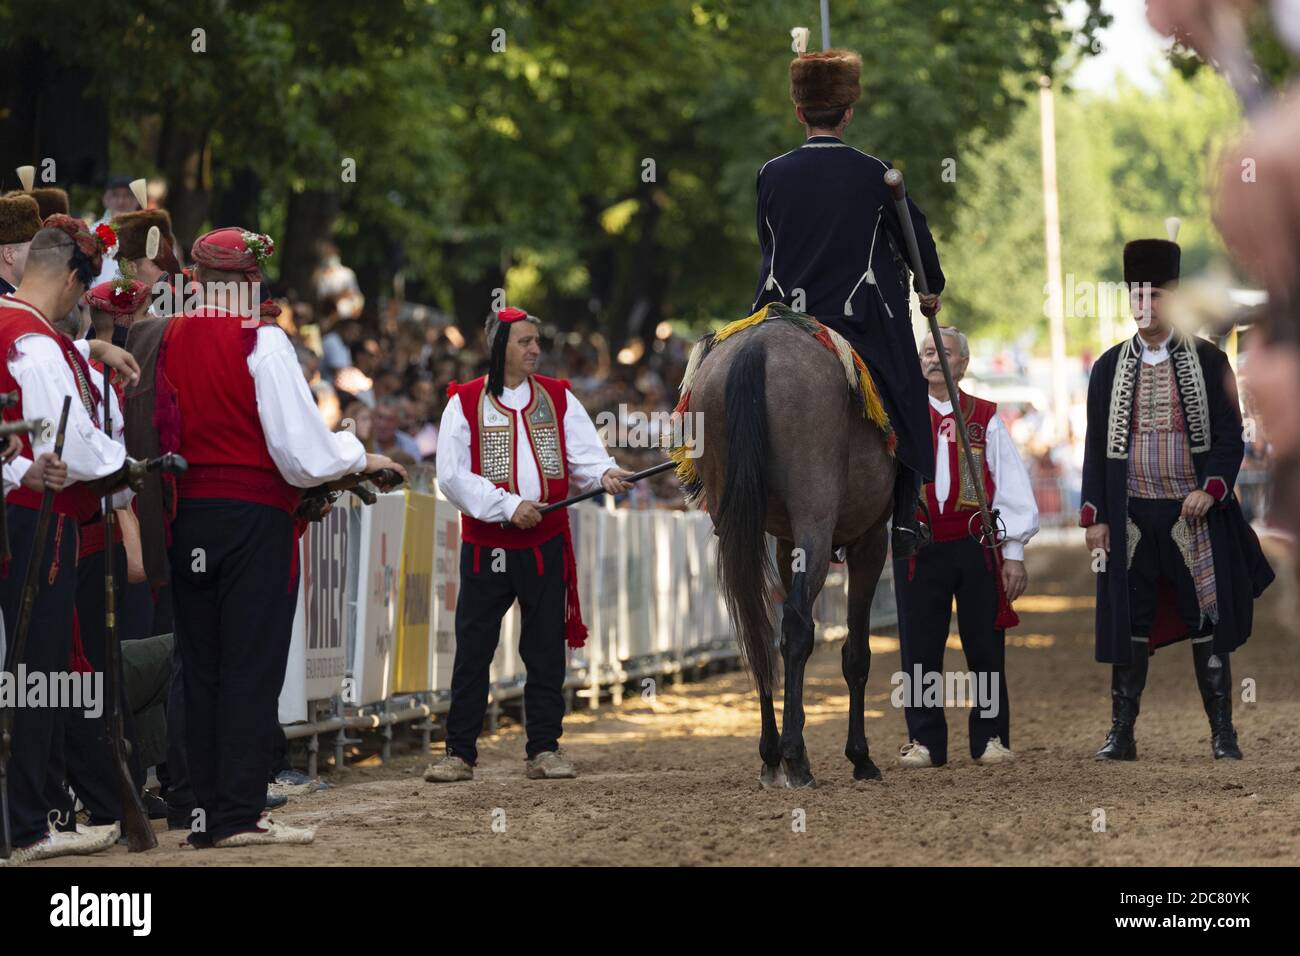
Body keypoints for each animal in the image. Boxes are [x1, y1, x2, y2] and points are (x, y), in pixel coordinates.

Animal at [686, 317, 899, 790]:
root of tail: (757, 346)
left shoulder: (784, 545)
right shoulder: (870, 540)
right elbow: (856, 654)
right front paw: (860, 757)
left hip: (738, 525)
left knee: (756, 630)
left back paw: (771, 755)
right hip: (816, 523)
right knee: (797, 628)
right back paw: (795, 759)